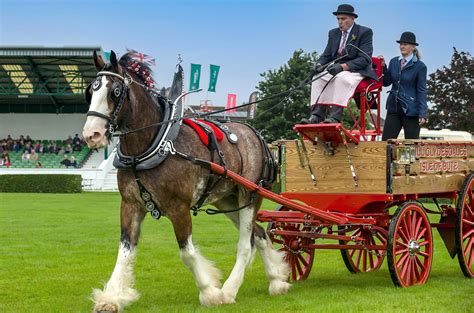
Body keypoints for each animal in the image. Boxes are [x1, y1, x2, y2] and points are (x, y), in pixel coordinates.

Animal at [82, 50, 290, 310]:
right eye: (90, 91)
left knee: (246, 244)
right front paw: (111, 297)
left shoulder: (178, 207)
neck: (153, 145)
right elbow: (125, 251)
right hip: (227, 201)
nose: (91, 134)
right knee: (259, 234)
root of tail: (256, 134)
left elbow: (187, 252)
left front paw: (210, 291)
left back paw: (229, 290)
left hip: (249, 197)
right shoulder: (130, 205)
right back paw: (276, 280)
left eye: (115, 92)